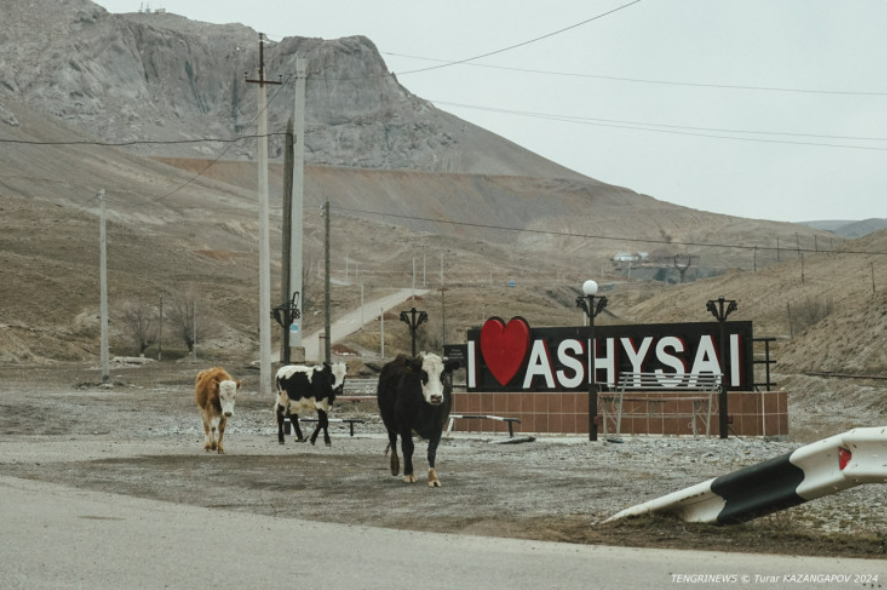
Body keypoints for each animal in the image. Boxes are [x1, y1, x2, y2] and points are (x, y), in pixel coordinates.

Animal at [377, 352, 461, 487]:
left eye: (442, 375)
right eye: (423, 374)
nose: (436, 397)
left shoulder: (438, 427)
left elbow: (432, 451)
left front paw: (433, 478)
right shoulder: (404, 426)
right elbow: (408, 448)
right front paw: (409, 474)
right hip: (388, 421)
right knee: (393, 441)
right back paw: (394, 466)